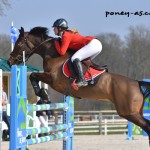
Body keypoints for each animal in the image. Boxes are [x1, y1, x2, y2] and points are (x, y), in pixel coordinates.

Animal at [7, 26, 150, 143]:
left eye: (19, 44)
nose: (10, 61)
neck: (54, 55)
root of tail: (137, 83)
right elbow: (34, 76)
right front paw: (43, 94)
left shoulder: (53, 79)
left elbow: (33, 75)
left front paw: (42, 93)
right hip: (135, 112)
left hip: (129, 113)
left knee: (147, 126)